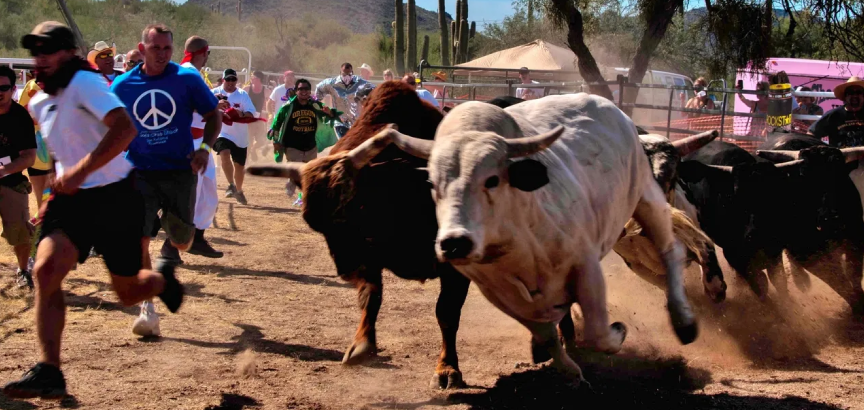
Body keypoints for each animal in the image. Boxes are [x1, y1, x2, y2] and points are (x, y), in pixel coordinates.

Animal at [382, 93, 700, 388]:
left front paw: (618, 332)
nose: (454, 243)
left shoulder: (585, 267)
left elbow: (597, 332)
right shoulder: (499, 293)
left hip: (646, 195)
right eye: (432, 183)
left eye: (492, 179)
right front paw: (569, 370)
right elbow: (546, 334)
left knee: (671, 251)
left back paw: (684, 322)